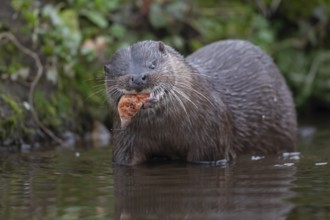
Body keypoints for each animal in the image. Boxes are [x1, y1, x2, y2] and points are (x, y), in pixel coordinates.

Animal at [104, 40, 296, 166]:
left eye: (152, 65)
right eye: (121, 72)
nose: (137, 78)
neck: (166, 131)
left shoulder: (210, 139)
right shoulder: (124, 139)